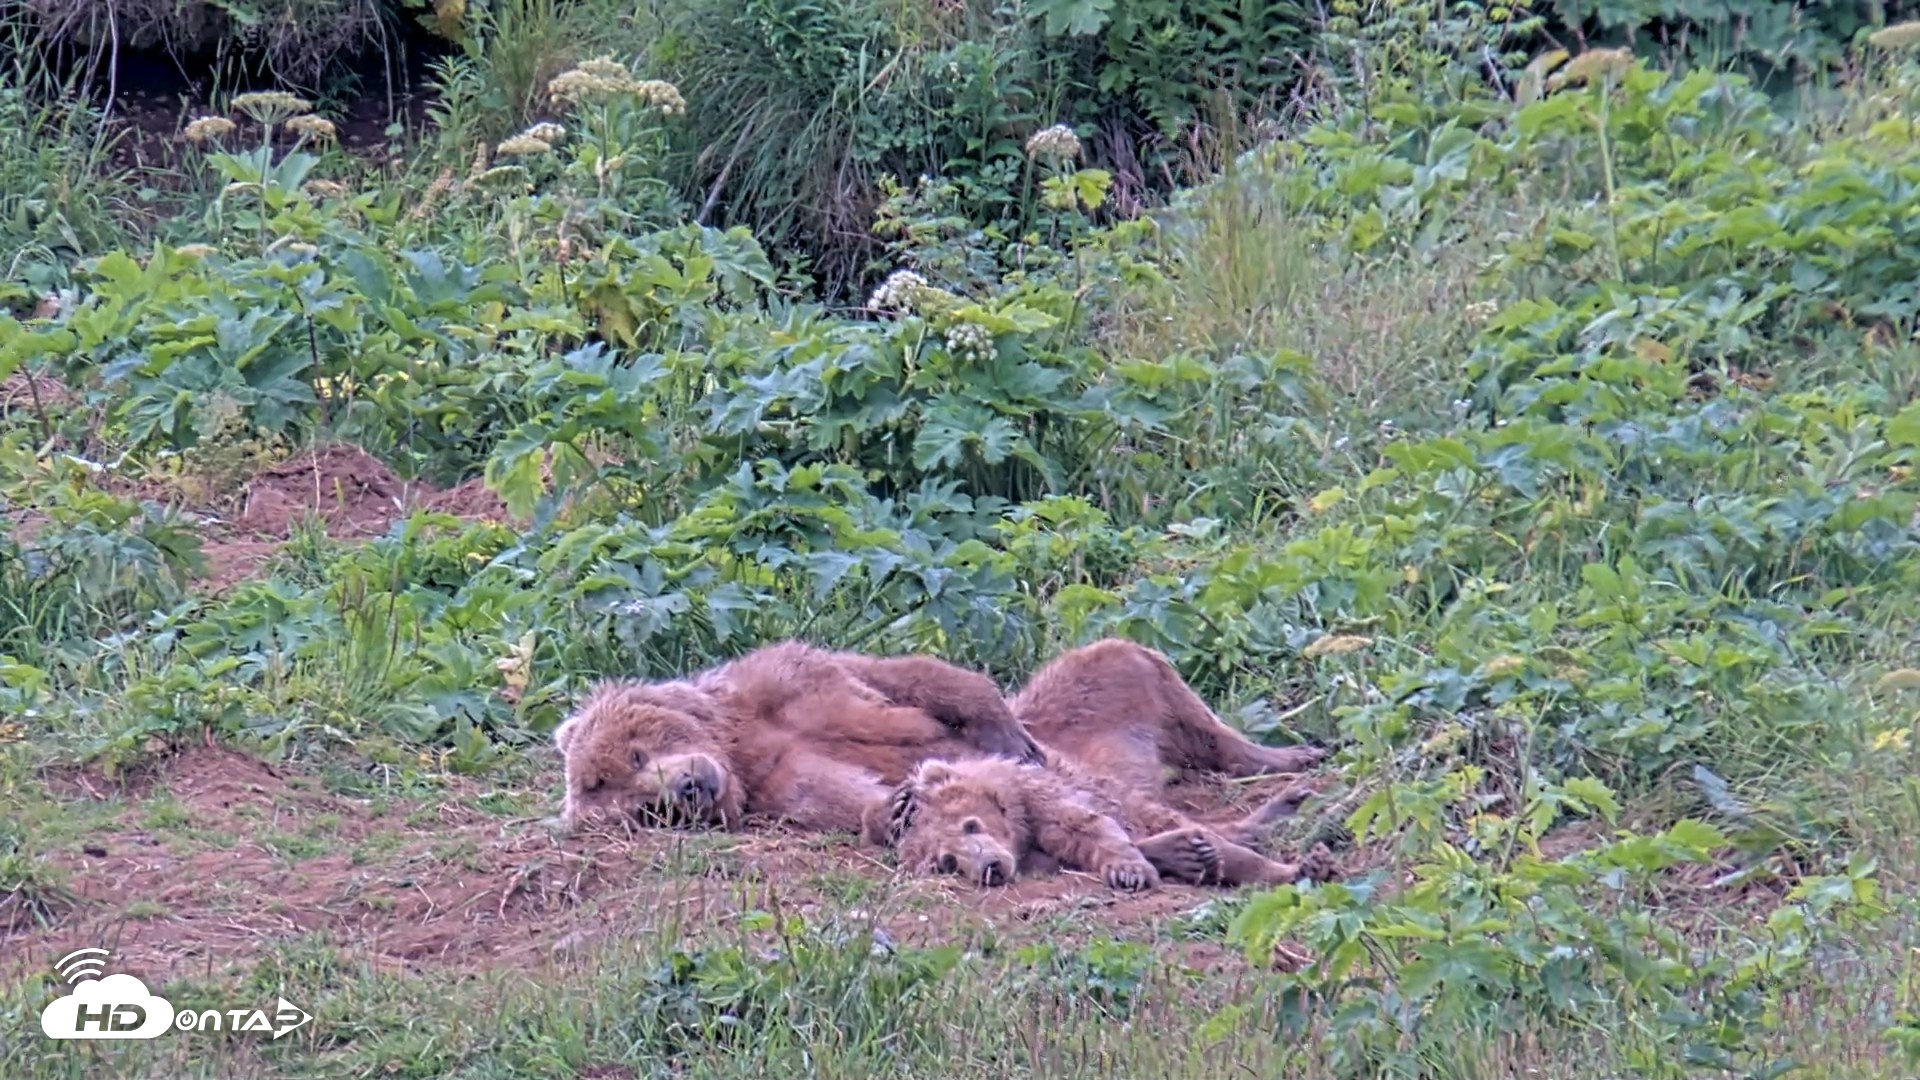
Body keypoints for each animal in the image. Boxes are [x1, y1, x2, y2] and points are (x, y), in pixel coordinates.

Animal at [552, 639, 1046, 833]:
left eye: (634, 754)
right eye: (649, 811)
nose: (688, 787)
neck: (737, 747)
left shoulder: (788, 683)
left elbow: (895, 678)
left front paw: (1008, 733)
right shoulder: (779, 782)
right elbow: (833, 792)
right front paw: (894, 808)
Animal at [866, 754, 1338, 892]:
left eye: (971, 824)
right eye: (946, 862)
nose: (990, 867)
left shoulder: (1044, 797)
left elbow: (1088, 827)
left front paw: (1130, 870)